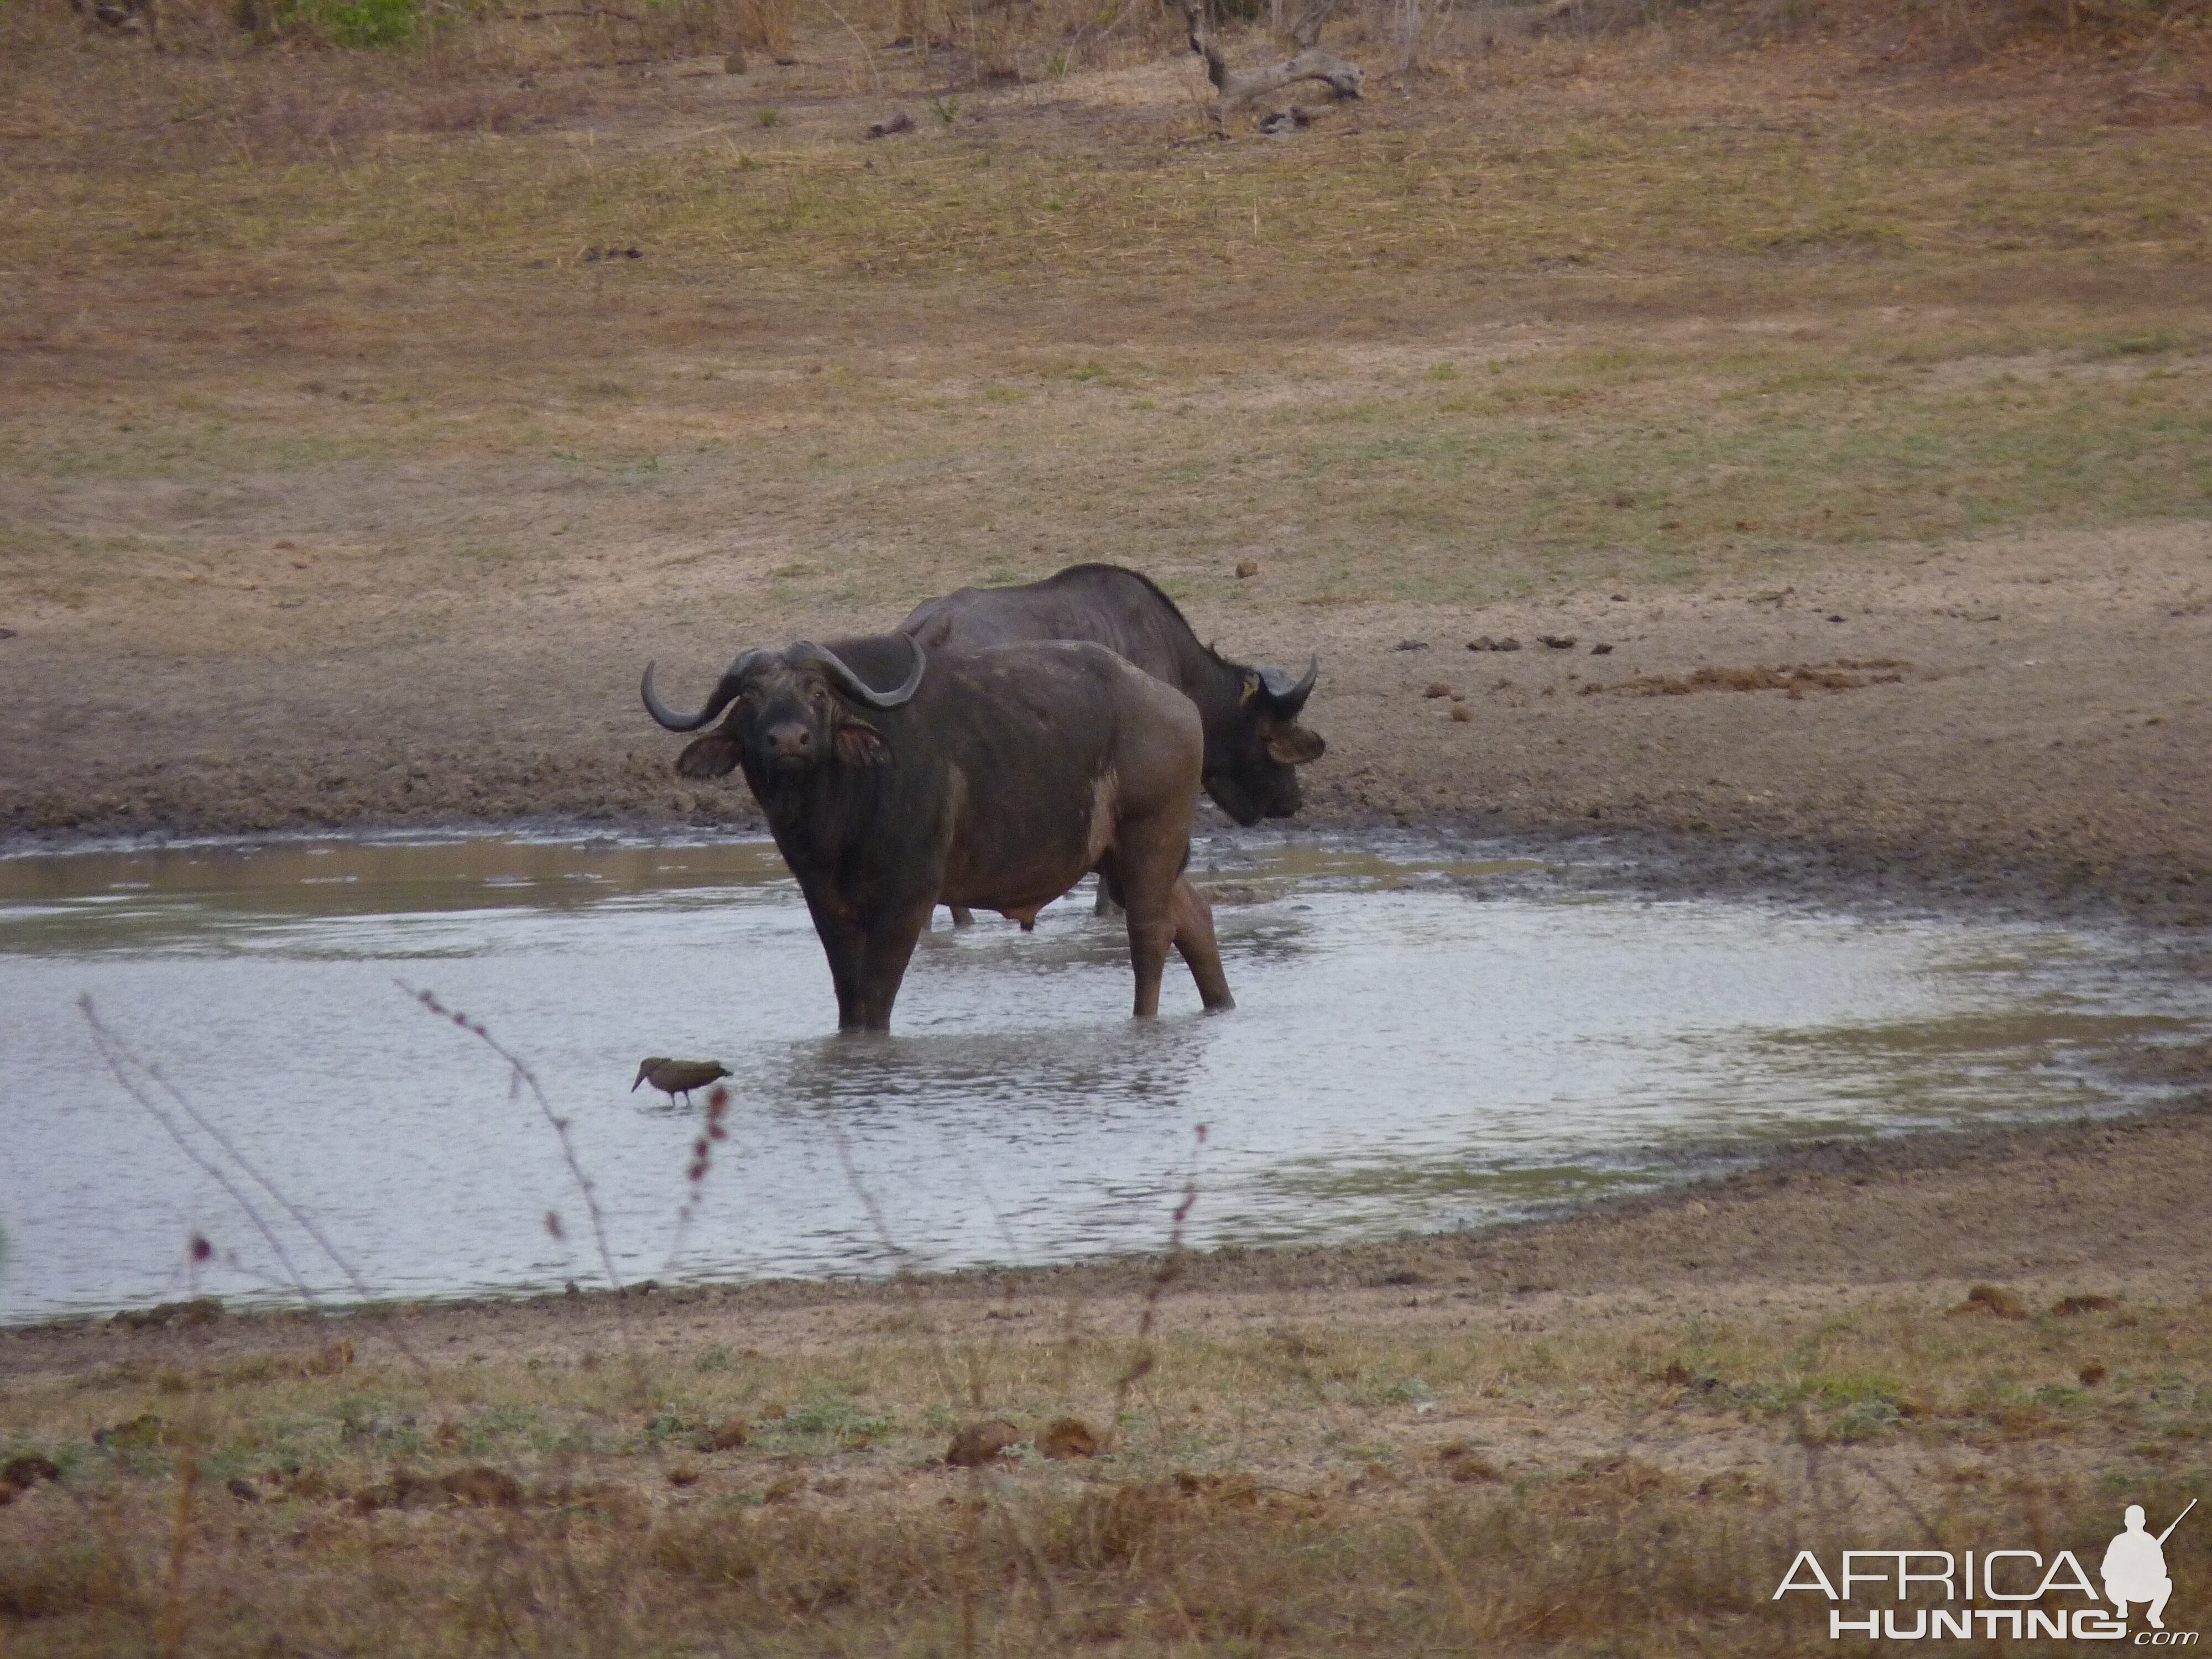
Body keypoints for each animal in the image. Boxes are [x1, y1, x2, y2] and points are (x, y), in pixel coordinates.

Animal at [641, 633, 1239, 1035]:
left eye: (818, 693)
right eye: (751, 697)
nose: (789, 740)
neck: (837, 818)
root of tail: (1176, 704)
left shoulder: (910, 897)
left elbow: (877, 995)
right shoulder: (824, 902)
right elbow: (849, 995)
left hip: (1149, 841)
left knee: (1150, 935)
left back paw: (1144, 1021)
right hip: (1120, 858)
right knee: (1193, 916)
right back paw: (1221, 1006)